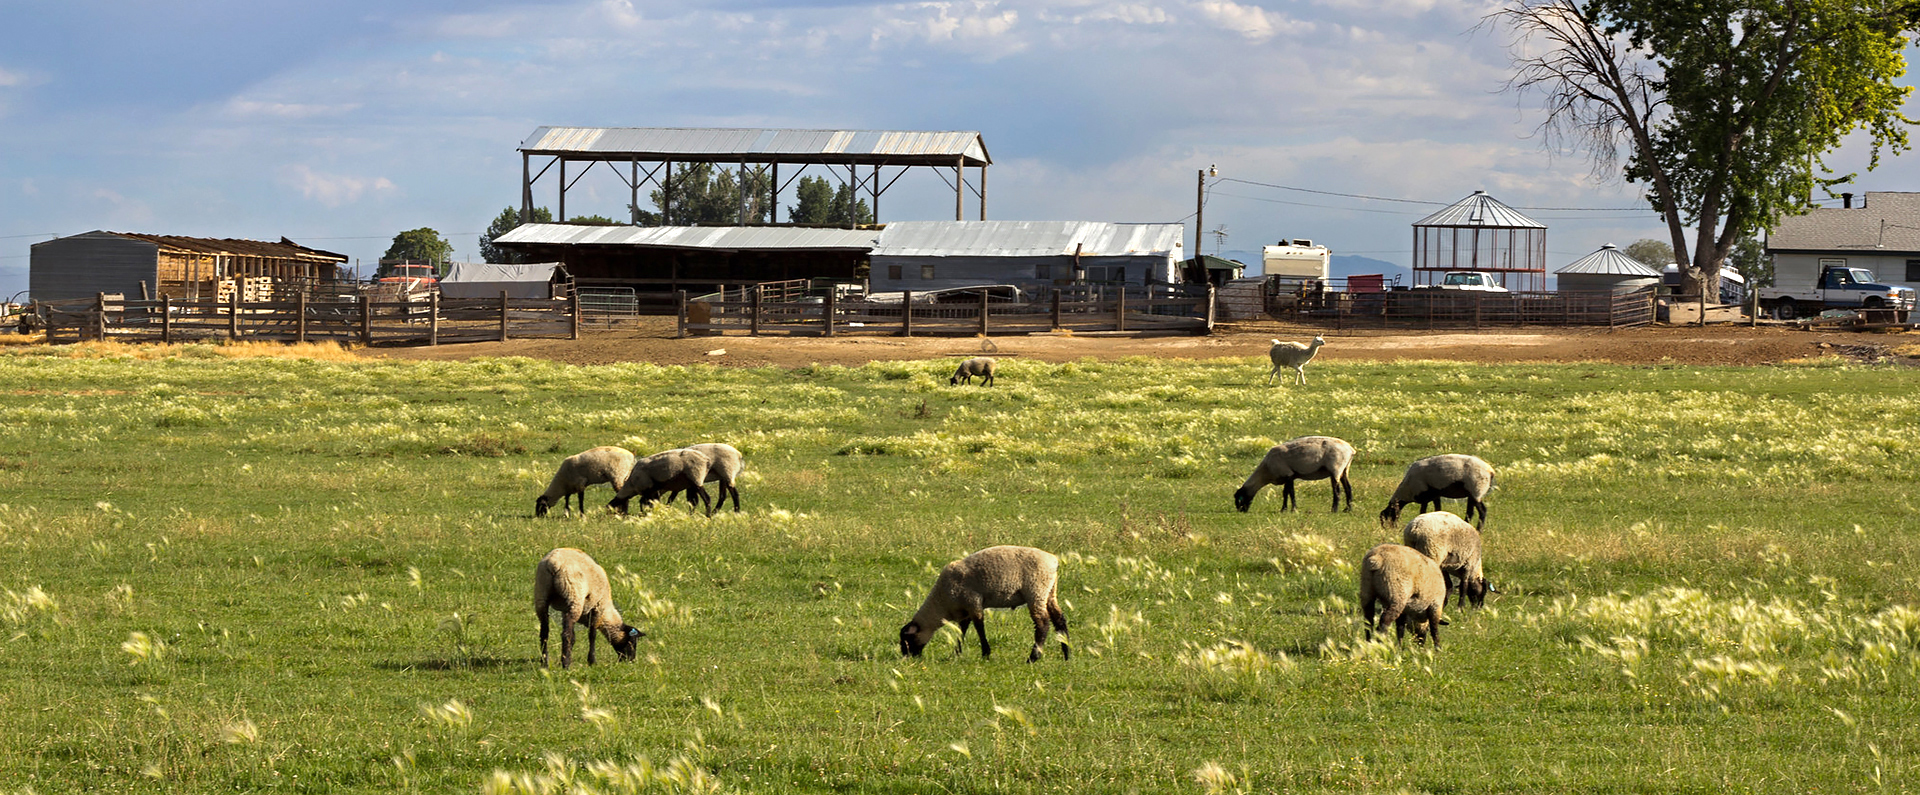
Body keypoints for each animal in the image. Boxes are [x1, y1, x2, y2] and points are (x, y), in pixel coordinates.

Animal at [894, 545, 1067, 660]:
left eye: (907, 640)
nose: (906, 657)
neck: (941, 602)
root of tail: (1053, 561)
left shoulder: (973, 602)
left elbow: (979, 628)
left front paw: (985, 653)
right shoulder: (965, 610)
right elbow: (962, 630)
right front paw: (956, 653)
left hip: (1036, 590)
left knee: (1043, 624)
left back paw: (1033, 657)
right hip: (1049, 592)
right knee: (1059, 619)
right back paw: (1067, 653)